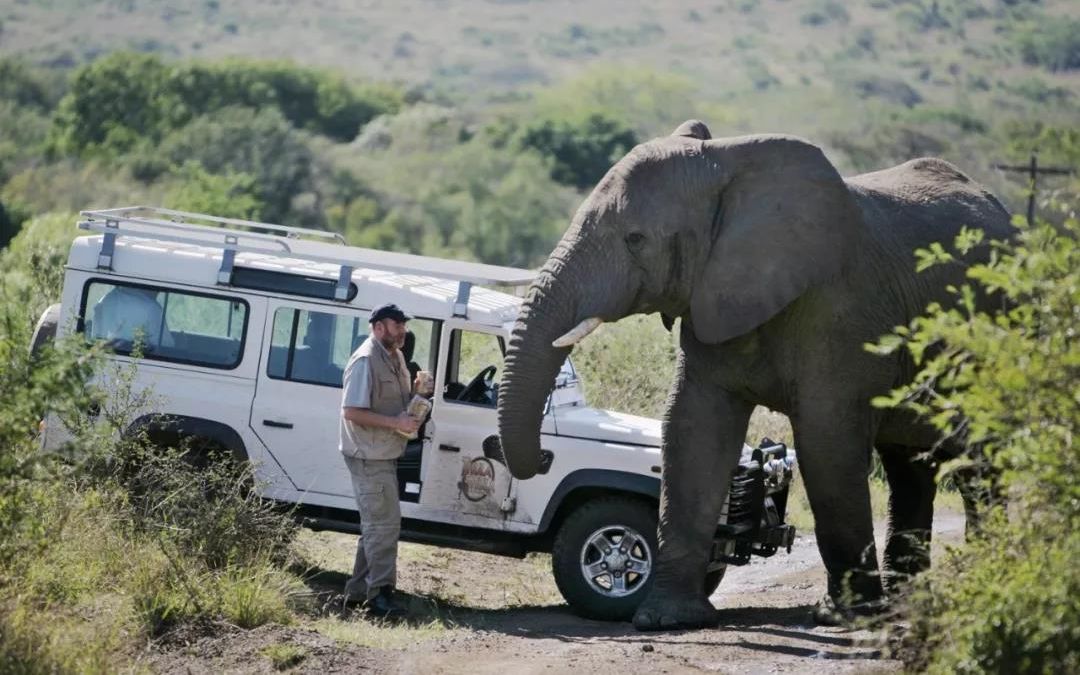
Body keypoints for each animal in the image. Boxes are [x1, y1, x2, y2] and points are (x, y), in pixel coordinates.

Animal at [496, 118, 1010, 630]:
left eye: (636, 239)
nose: (540, 458)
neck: (728, 169)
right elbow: (694, 434)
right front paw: (668, 619)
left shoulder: (840, 313)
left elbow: (827, 449)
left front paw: (843, 616)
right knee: (909, 467)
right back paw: (909, 603)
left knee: (977, 465)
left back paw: (977, 582)